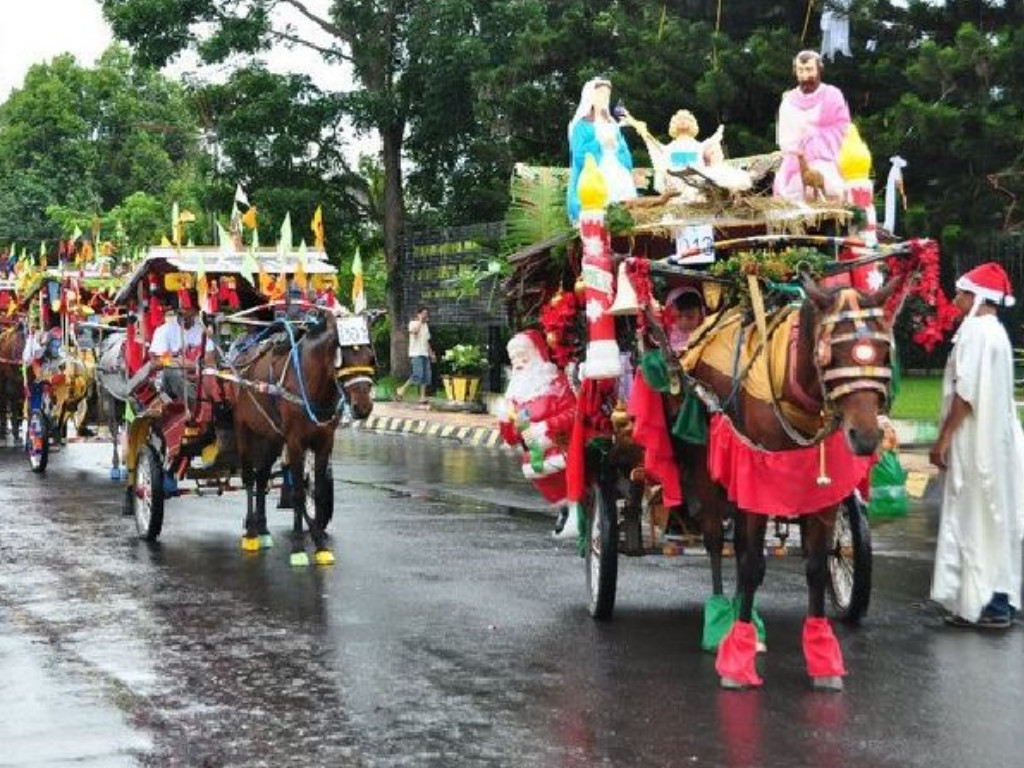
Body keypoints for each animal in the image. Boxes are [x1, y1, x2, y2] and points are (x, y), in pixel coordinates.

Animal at [229, 309, 376, 565]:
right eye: (343, 357)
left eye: (370, 357)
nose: (363, 407)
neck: (309, 381)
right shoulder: (295, 443)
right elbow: (297, 493)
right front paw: (298, 547)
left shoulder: (324, 442)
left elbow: (317, 492)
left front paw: (320, 544)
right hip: (244, 429)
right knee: (249, 478)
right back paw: (251, 533)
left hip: (271, 437)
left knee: (262, 476)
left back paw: (263, 529)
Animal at [675, 274, 901, 692]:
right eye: (831, 354)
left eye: (882, 351)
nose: (865, 437)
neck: (790, 378)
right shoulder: (756, 478)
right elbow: (751, 565)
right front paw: (737, 658)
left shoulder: (822, 490)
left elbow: (815, 566)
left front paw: (823, 656)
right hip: (707, 467)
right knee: (716, 541)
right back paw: (720, 617)